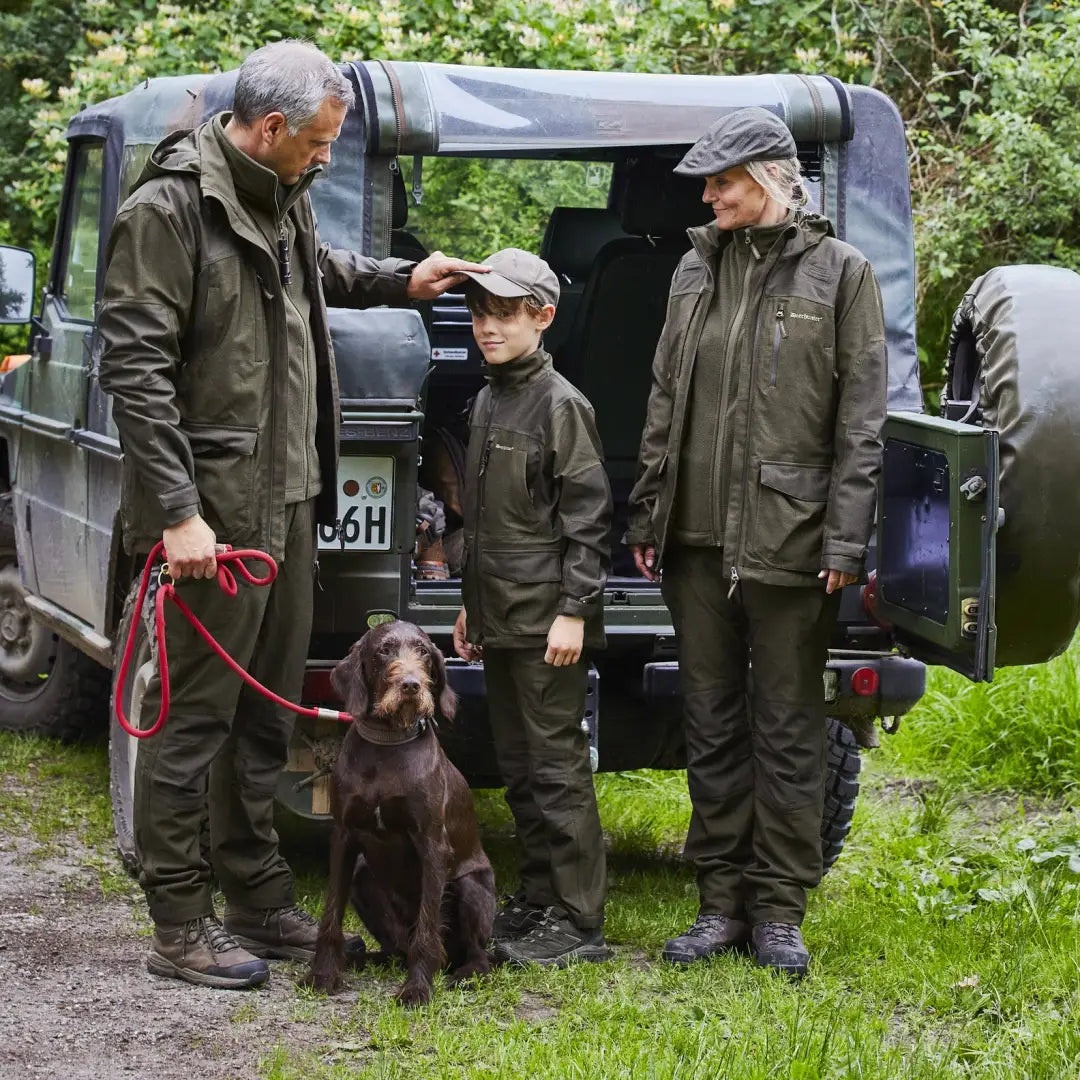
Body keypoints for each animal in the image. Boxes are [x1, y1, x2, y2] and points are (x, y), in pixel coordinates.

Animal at [306, 622, 494, 1006]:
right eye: (383, 651)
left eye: (423, 651)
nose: (411, 685)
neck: (386, 744)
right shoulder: (344, 837)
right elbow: (331, 916)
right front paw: (324, 974)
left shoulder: (432, 845)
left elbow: (427, 930)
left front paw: (417, 988)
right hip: (363, 875)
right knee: (396, 948)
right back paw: (365, 959)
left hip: (471, 886)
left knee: (474, 953)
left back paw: (467, 973)